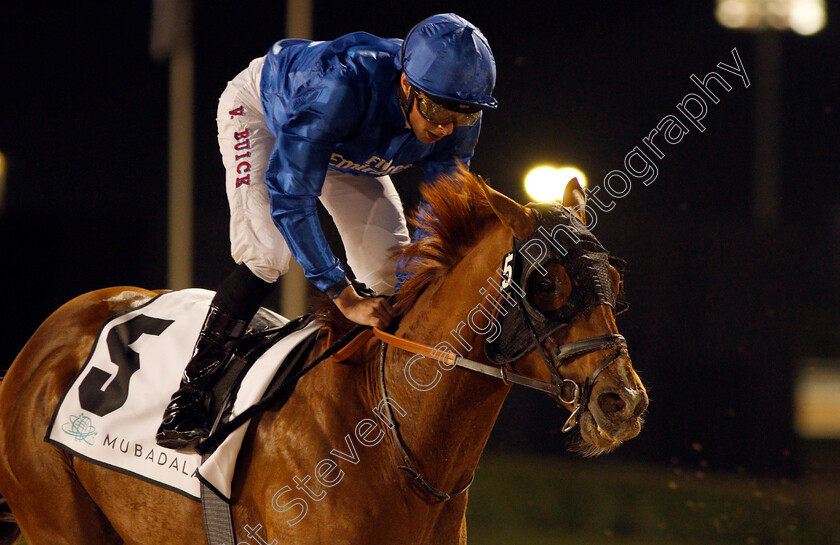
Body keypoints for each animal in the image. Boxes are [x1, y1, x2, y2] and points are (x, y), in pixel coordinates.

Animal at [0, 171, 648, 544]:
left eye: (615, 281)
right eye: (550, 284)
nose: (624, 401)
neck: (390, 443)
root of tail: (44, 340)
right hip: (59, 519)